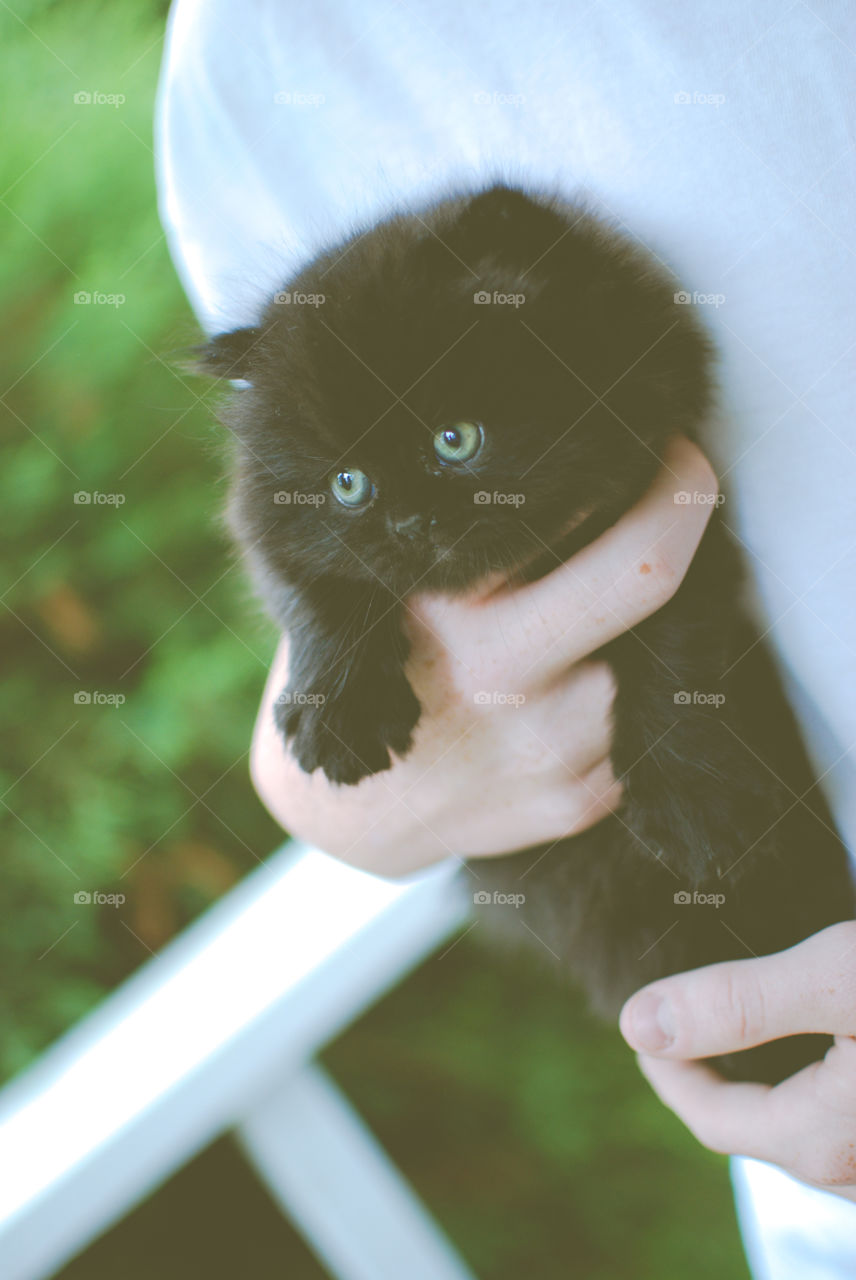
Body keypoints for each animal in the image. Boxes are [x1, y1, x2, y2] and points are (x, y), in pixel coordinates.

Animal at [198, 180, 849, 1080]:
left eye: (455, 439)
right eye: (348, 486)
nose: (408, 524)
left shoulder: (678, 525)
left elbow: (677, 654)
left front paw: (691, 804)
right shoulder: (276, 535)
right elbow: (320, 591)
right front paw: (338, 710)